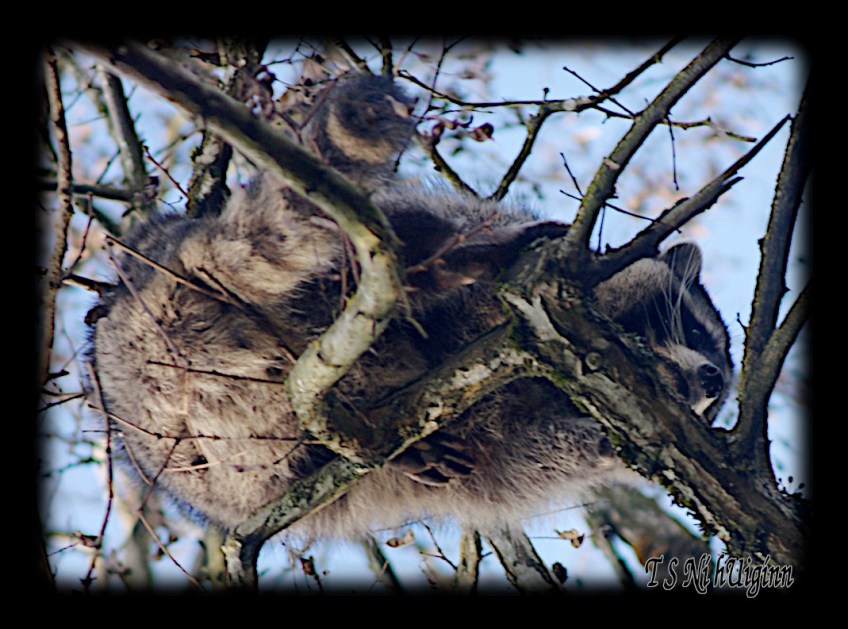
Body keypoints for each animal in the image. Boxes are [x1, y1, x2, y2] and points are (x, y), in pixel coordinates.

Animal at [88, 73, 731, 536]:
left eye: (720, 393)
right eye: (697, 332)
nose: (713, 378)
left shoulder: (505, 444)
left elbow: (518, 460)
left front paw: (601, 444)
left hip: (232, 474)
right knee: (401, 240)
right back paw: (449, 271)